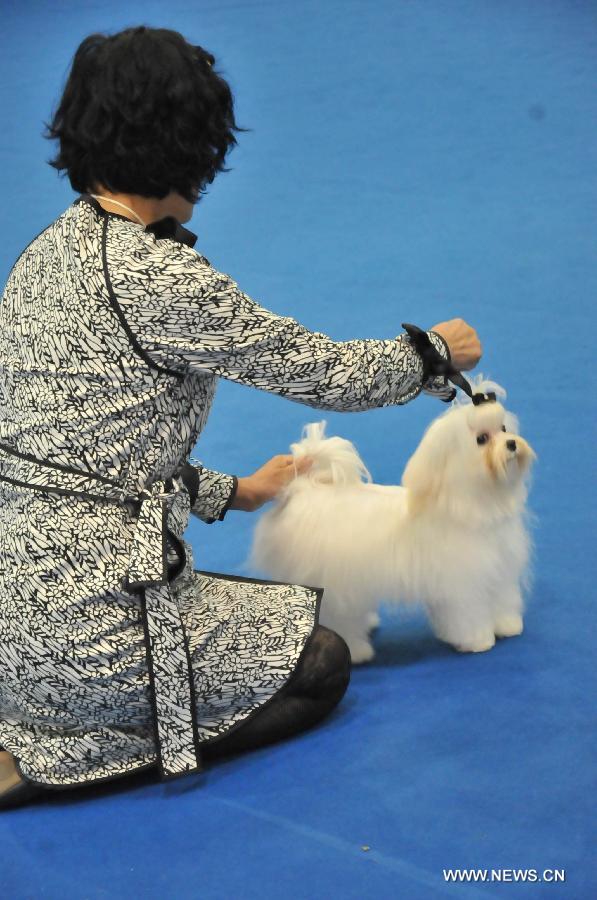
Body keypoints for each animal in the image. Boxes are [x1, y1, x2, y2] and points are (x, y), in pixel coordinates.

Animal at [247, 376, 536, 664]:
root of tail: (303, 488)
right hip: (332, 581)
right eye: (482, 439)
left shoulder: (499, 568)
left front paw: (507, 625)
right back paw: (357, 651)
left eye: (503, 428)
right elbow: (468, 613)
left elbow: (502, 598)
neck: (477, 504)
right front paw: (478, 641)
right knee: (337, 617)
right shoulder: (462, 582)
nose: (512, 443)